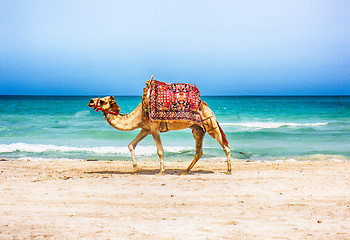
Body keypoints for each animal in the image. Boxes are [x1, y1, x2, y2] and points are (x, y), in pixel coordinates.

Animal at [87, 79, 232, 174]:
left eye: (102, 100)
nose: (90, 101)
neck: (139, 114)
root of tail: (205, 105)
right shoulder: (145, 129)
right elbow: (131, 145)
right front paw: (135, 168)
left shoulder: (154, 129)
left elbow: (160, 150)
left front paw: (161, 171)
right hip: (198, 129)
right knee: (199, 152)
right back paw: (185, 171)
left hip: (210, 123)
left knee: (226, 147)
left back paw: (229, 171)